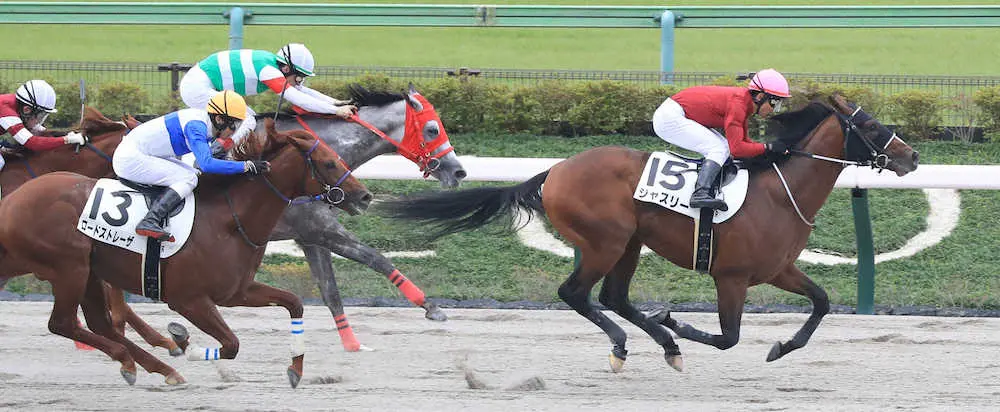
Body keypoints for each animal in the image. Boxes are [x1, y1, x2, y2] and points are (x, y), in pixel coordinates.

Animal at [0, 119, 372, 386]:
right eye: (328, 163)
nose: (365, 196)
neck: (228, 220)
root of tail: (14, 200)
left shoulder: (236, 292)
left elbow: (293, 303)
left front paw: (296, 369)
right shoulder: (188, 299)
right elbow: (231, 344)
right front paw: (184, 342)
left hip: (85, 270)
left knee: (98, 322)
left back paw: (153, 366)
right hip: (68, 268)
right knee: (63, 323)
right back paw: (147, 360)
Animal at [266, 84, 468, 350]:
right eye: (433, 129)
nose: (459, 172)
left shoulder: (310, 235)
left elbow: (331, 292)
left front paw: (352, 344)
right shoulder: (320, 228)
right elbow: (376, 258)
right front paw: (431, 307)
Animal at [378, 96, 916, 374]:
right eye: (871, 125)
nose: (911, 157)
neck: (780, 193)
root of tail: (555, 170)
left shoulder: (778, 269)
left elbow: (822, 301)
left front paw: (781, 347)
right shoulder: (732, 276)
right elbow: (728, 338)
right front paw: (676, 321)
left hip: (630, 243)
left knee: (613, 296)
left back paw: (662, 344)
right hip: (605, 241)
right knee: (576, 293)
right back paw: (630, 343)